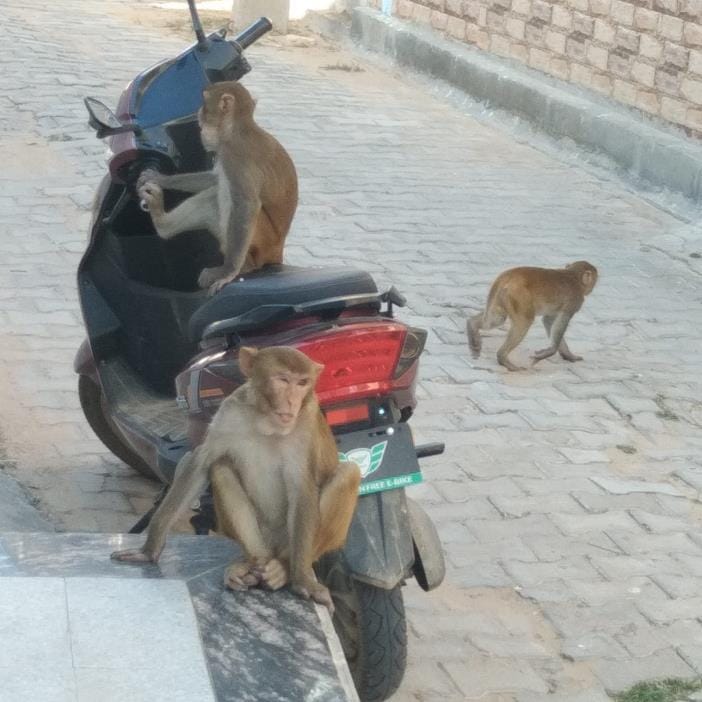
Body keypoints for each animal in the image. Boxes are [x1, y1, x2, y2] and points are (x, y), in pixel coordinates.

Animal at [111, 346, 361, 610]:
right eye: (283, 380)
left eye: (302, 383)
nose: (292, 403)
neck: (266, 422)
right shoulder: (229, 412)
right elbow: (202, 461)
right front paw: (149, 550)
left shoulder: (306, 423)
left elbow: (302, 487)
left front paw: (303, 581)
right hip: (259, 537)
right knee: (221, 467)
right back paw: (251, 566)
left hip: (293, 540)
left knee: (349, 472)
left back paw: (283, 569)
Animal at [137, 81, 298, 295]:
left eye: (205, 102)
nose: (198, 111)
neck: (236, 129)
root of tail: (278, 252)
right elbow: (215, 179)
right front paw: (161, 179)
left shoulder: (234, 156)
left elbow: (247, 205)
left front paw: (228, 272)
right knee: (215, 195)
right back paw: (163, 223)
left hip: (263, 243)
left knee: (231, 201)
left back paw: (243, 266)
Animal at [466, 261, 598, 371]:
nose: (591, 288)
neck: (573, 276)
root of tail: (507, 276)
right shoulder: (574, 302)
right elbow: (558, 321)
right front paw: (551, 351)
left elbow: (548, 321)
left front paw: (568, 355)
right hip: (518, 296)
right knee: (524, 321)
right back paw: (503, 358)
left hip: (501, 297)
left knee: (496, 320)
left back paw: (472, 326)